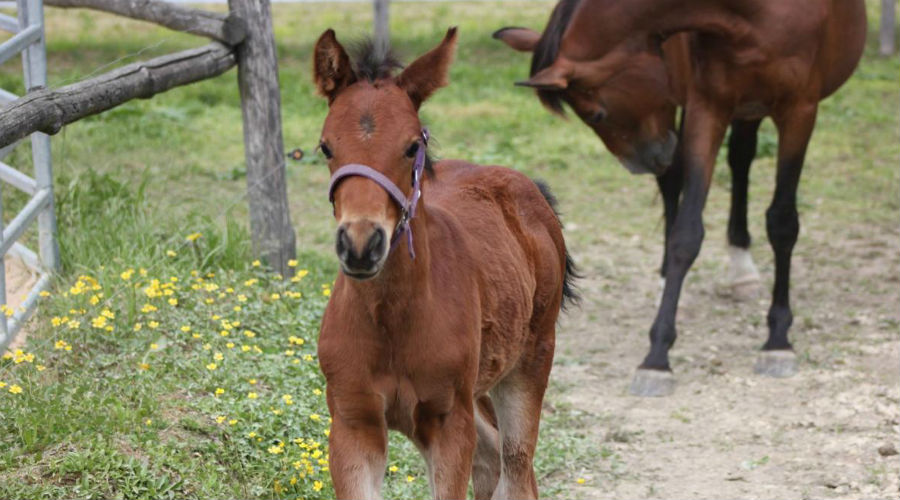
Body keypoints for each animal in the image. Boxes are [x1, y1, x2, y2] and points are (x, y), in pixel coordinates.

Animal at [312, 28, 576, 500]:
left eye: (412, 146)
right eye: (326, 145)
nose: (361, 246)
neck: (392, 322)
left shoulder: (449, 423)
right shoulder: (353, 423)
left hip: (528, 363)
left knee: (517, 463)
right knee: (492, 457)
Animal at [496, 0, 868, 396]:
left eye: (597, 113)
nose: (642, 163)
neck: (754, 14)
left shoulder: (799, 109)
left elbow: (782, 222)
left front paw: (778, 340)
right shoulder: (708, 106)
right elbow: (686, 234)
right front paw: (657, 358)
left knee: (740, 158)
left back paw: (742, 270)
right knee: (691, 175)